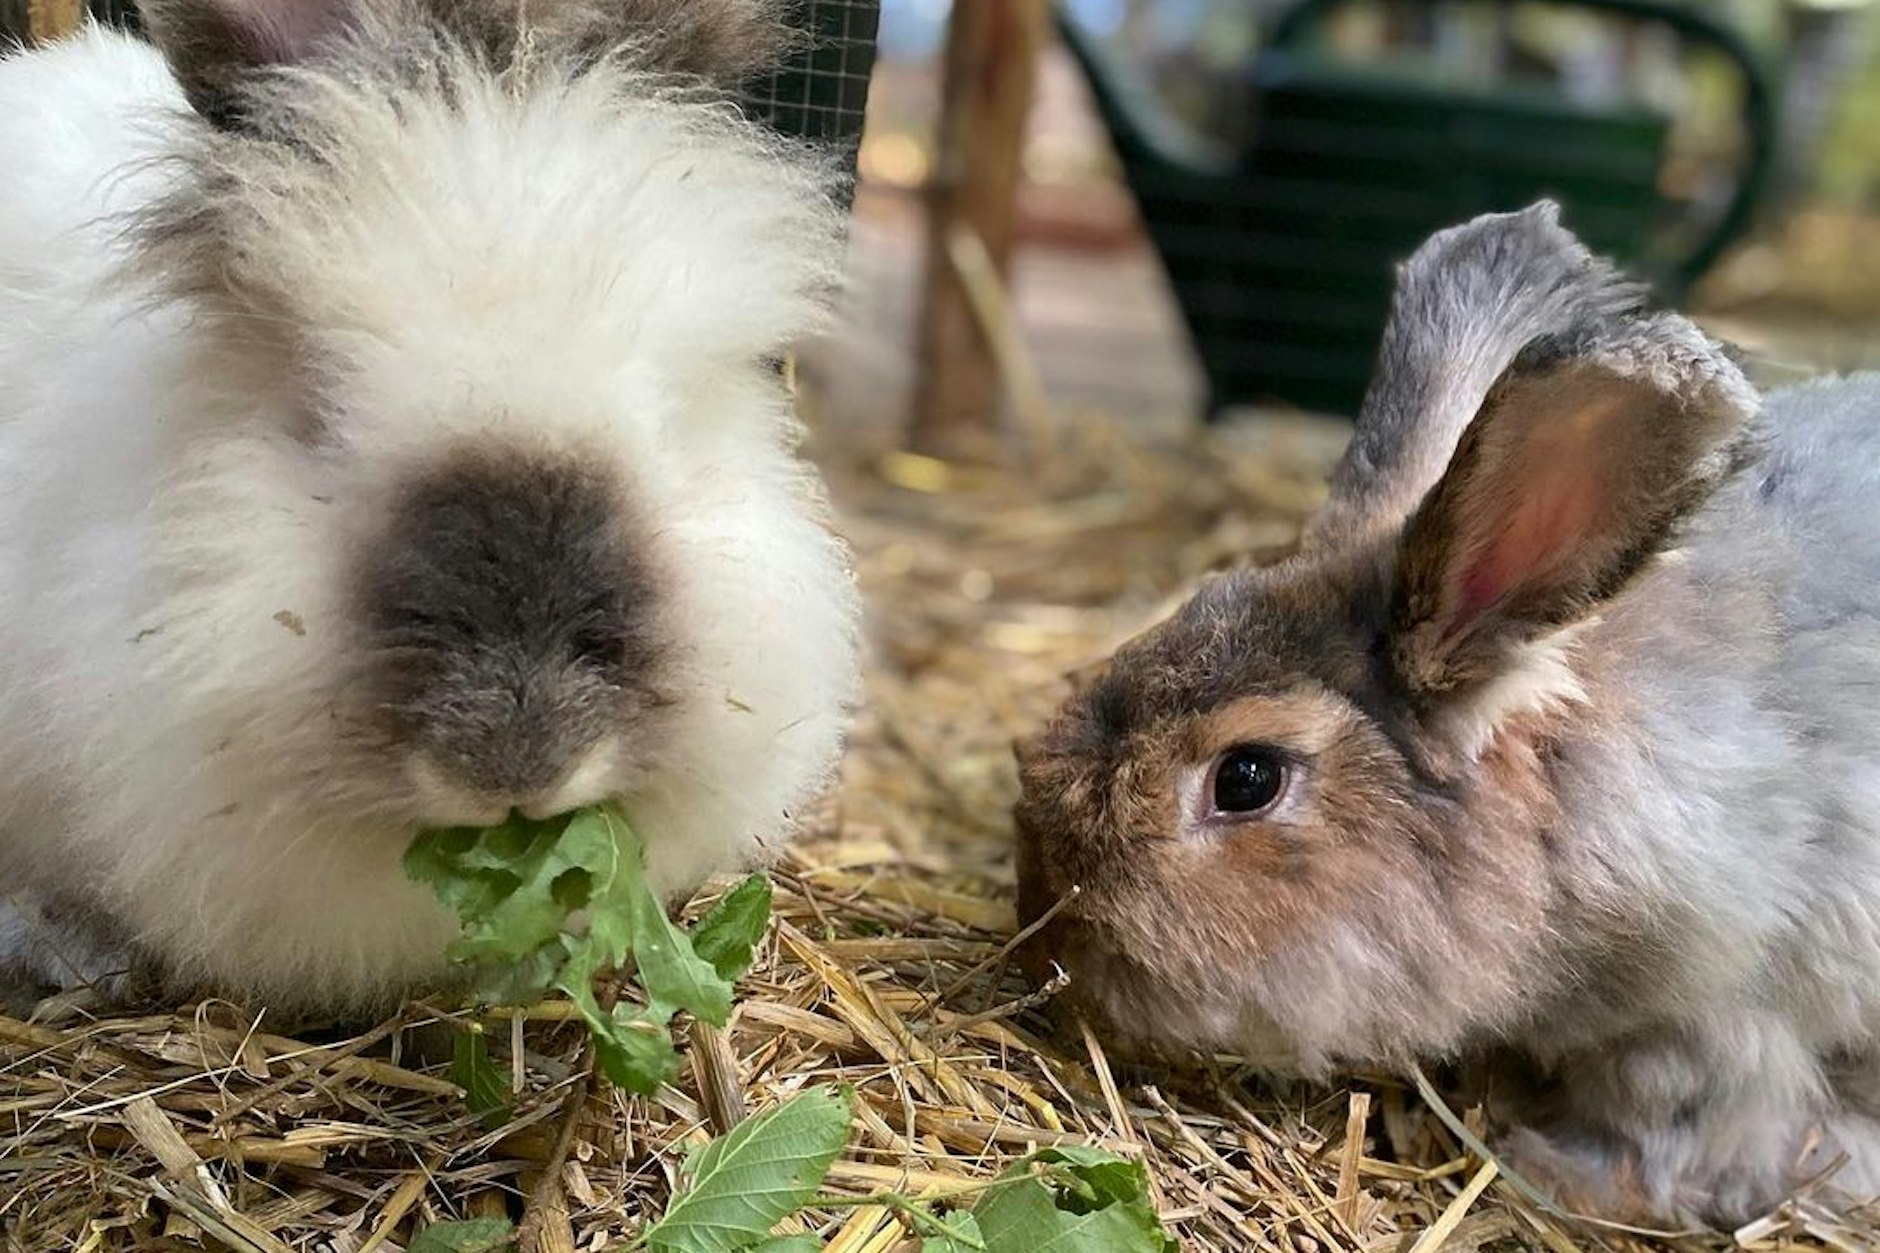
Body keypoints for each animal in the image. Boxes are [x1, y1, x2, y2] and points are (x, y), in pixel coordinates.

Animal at [1013, 200, 1880, 1227]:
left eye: (1247, 777)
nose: (1045, 934)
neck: (1570, 791)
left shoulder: (1713, 1022)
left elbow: (1670, 1137)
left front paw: (1546, 1164)